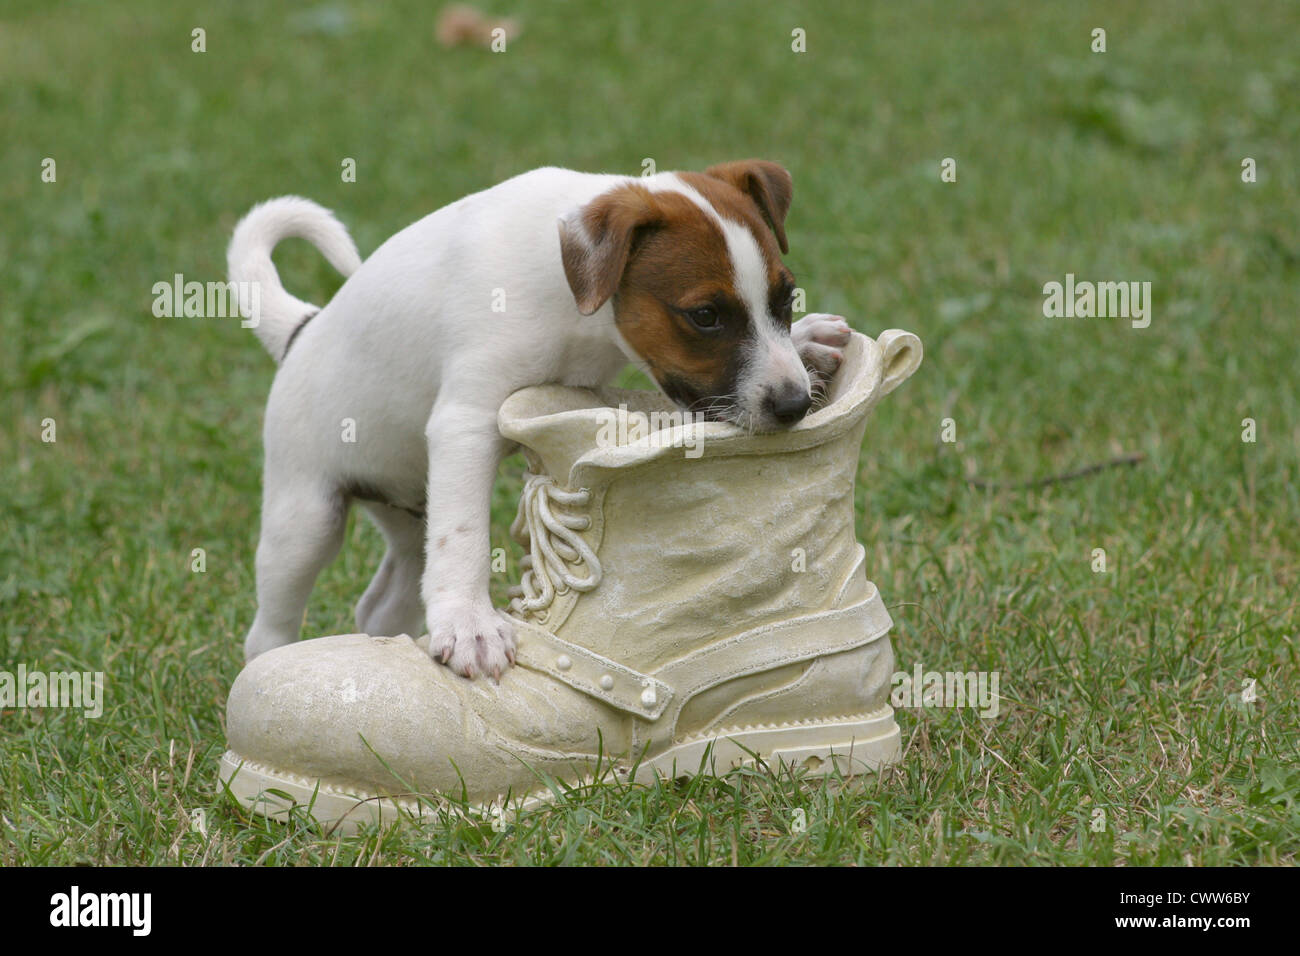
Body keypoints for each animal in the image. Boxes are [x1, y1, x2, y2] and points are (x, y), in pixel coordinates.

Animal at [226, 158, 852, 681]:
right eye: (704, 316)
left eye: (785, 298)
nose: (793, 405)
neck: (568, 290)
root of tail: (301, 329)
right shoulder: (466, 421)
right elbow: (464, 538)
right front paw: (470, 625)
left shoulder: (578, 389)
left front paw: (808, 340)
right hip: (306, 520)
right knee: (270, 626)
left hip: (407, 511)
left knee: (383, 600)